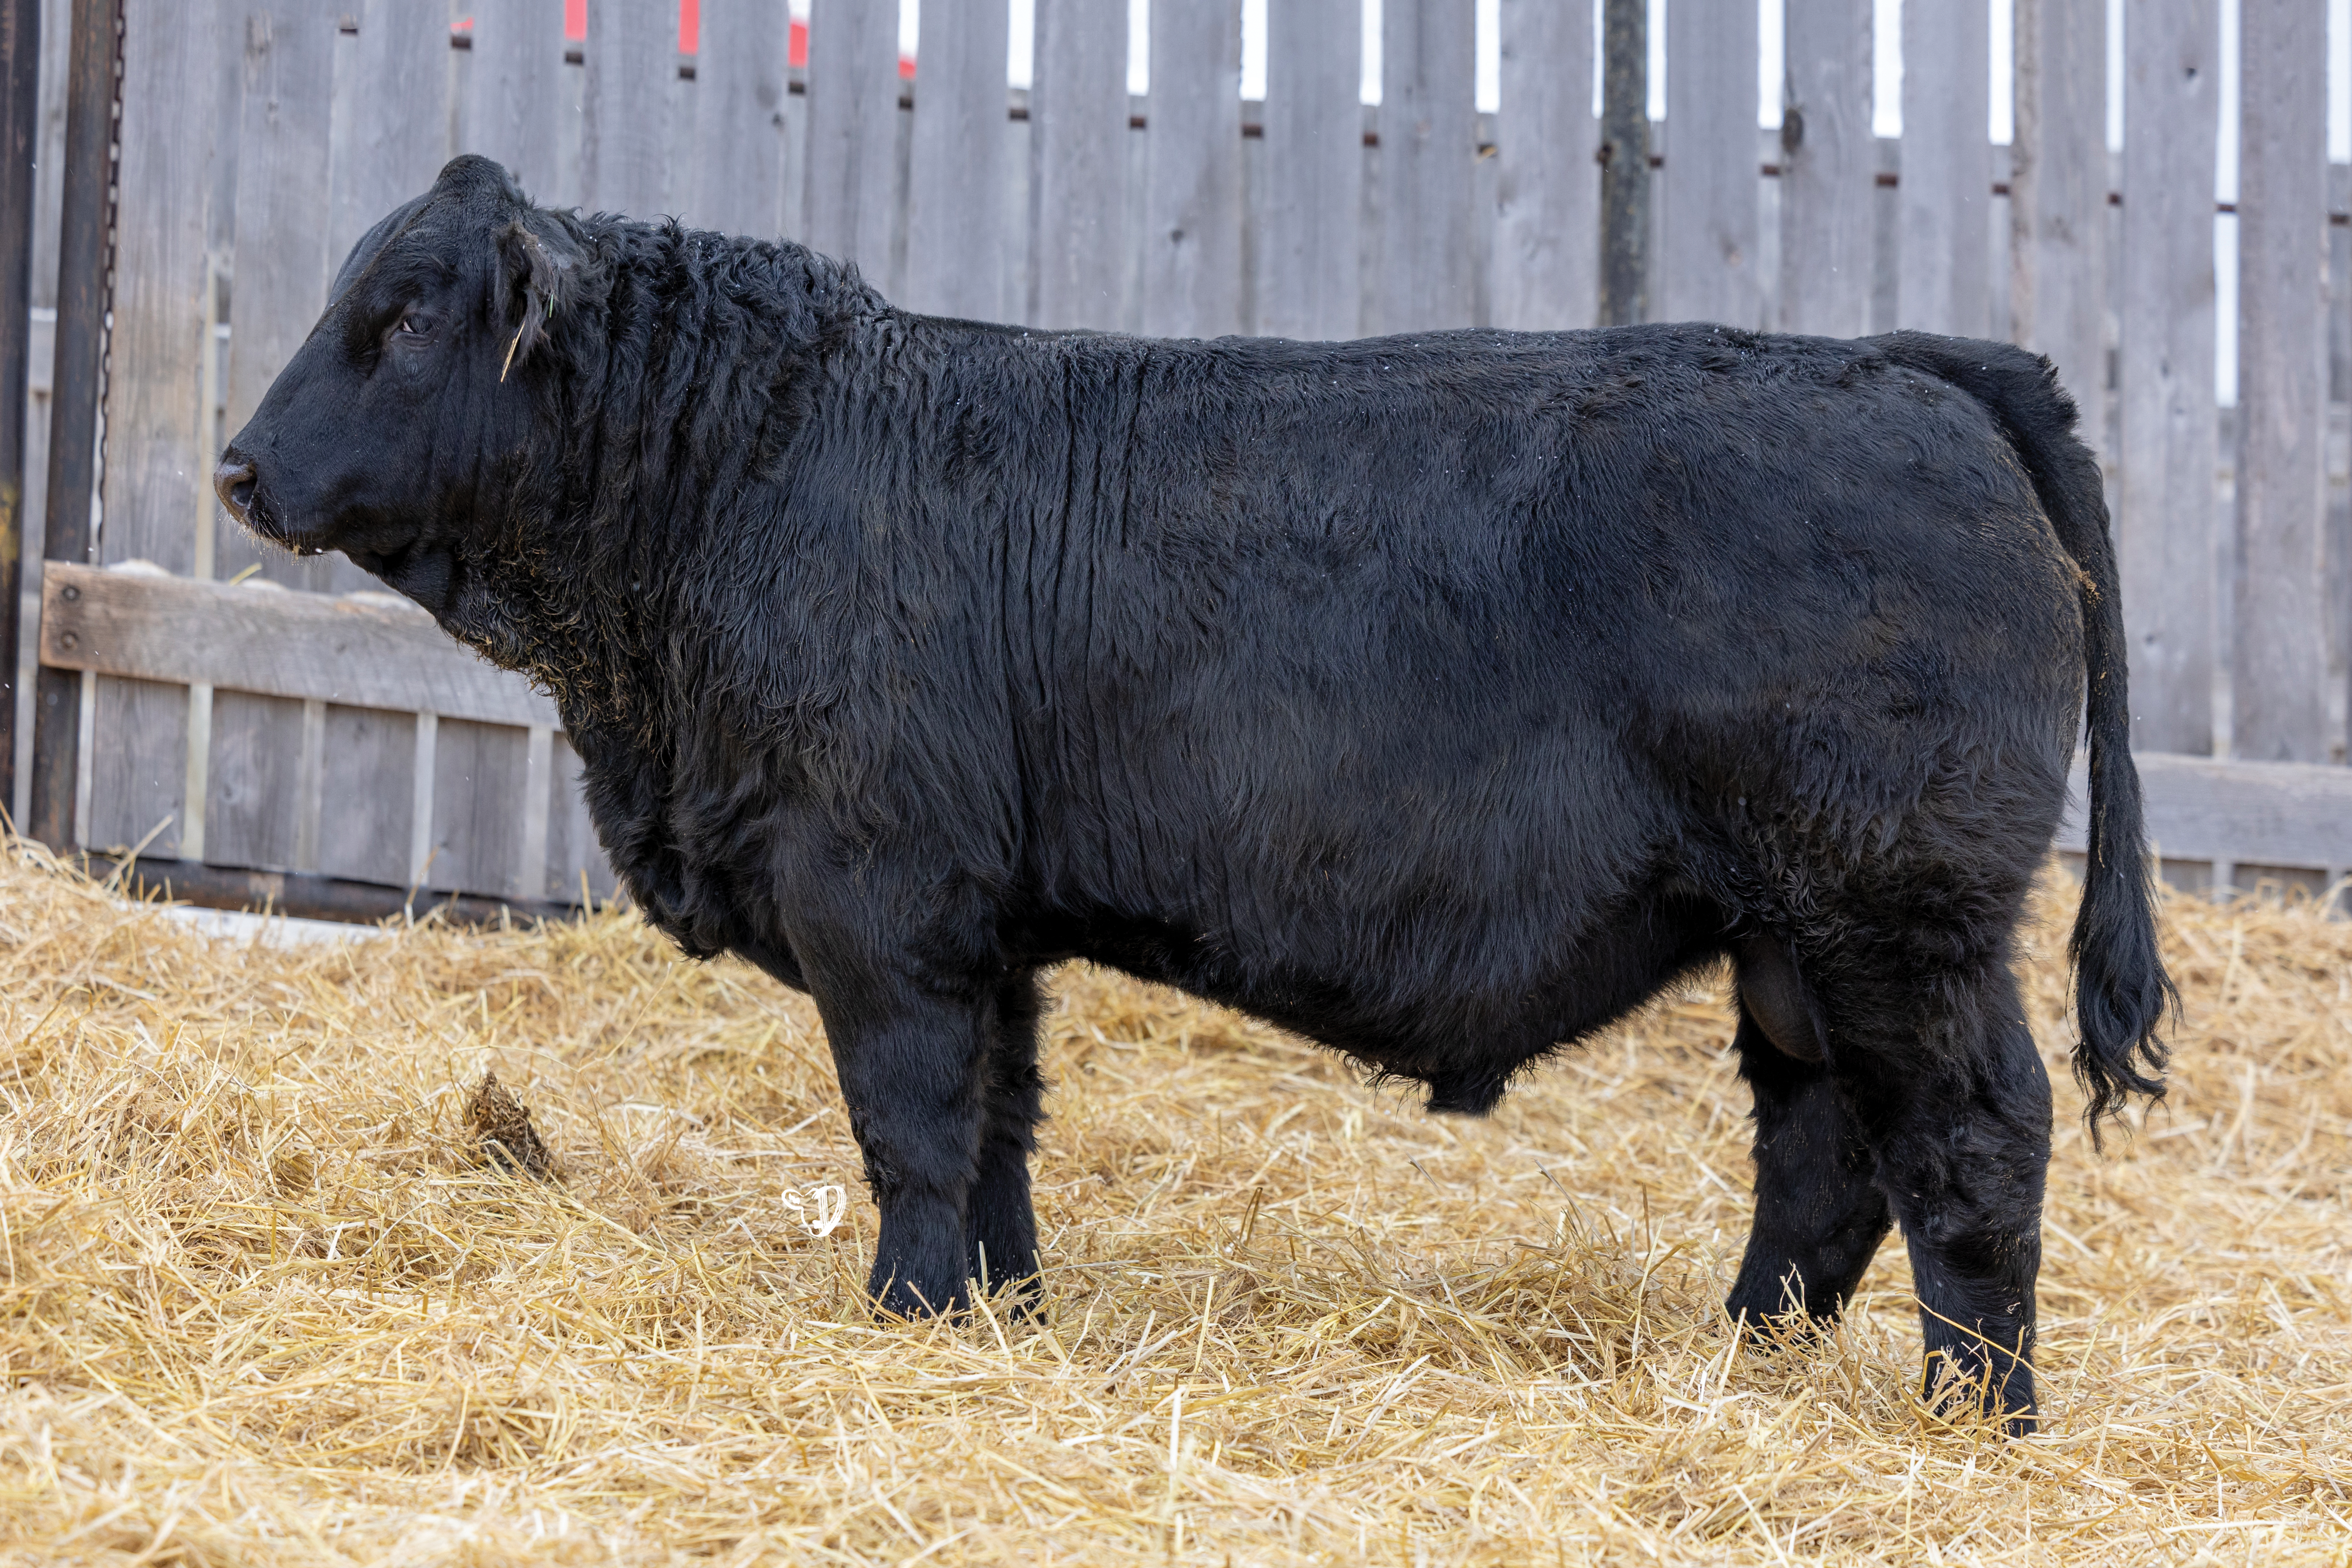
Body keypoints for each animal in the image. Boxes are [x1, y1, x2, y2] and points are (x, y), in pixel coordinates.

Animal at [214, 156, 2174, 1433]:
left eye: (403, 313)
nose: (234, 466)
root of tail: (1911, 361)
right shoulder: (988, 922)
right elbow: (999, 1131)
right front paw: (996, 1314)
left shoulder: (883, 903)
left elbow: (911, 1128)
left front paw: (904, 1319)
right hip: (1794, 940)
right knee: (1825, 1156)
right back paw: (1743, 1362)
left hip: (1899, 914)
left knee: (1972, 1138)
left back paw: (1976, 1414)